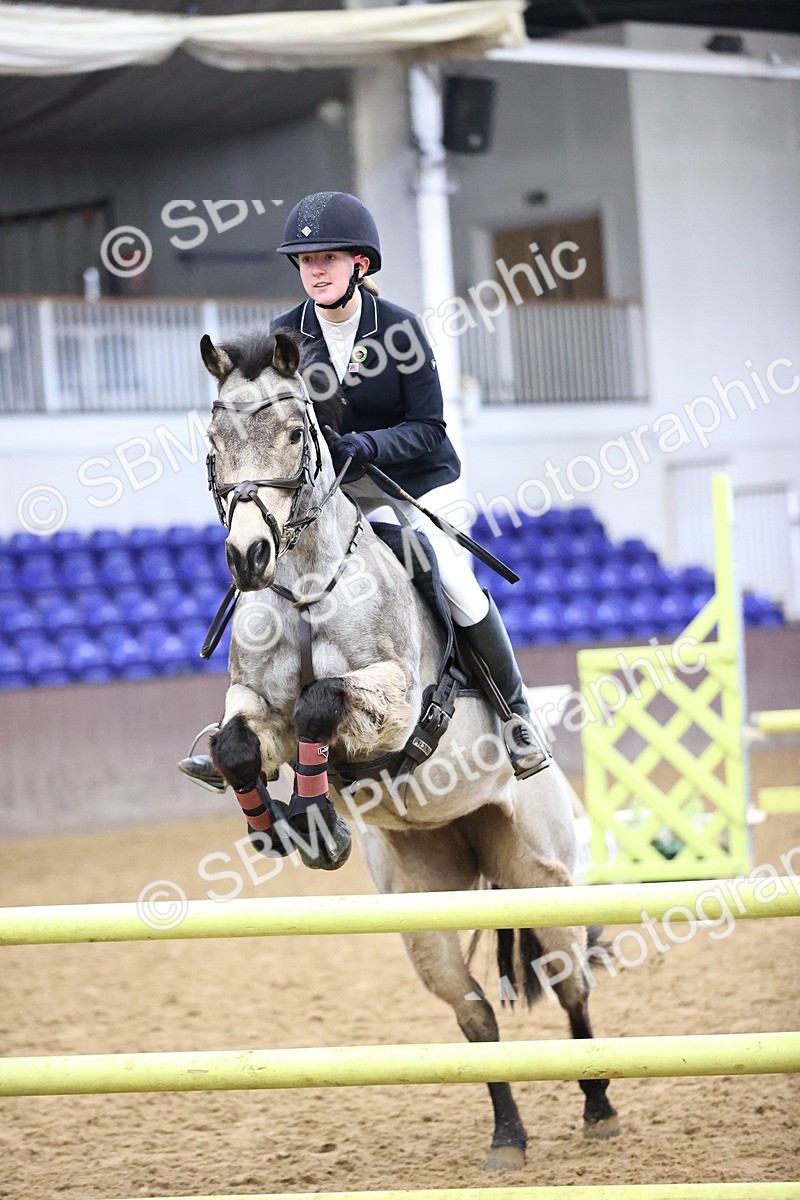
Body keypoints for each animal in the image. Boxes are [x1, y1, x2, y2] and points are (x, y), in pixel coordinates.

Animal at [200, 327, 621, 1169]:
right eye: (213, 445)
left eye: (294, 434)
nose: (247, 558)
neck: (304, 584)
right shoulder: (256, 709)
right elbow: (238, 745)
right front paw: (286, 827)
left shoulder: (395, 706)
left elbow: (323, 704)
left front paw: (314, 820)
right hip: (423, 905)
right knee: (474, 1015)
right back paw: (507, 1136)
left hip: (541, 876)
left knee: (572, 984)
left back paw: (597, 1104)